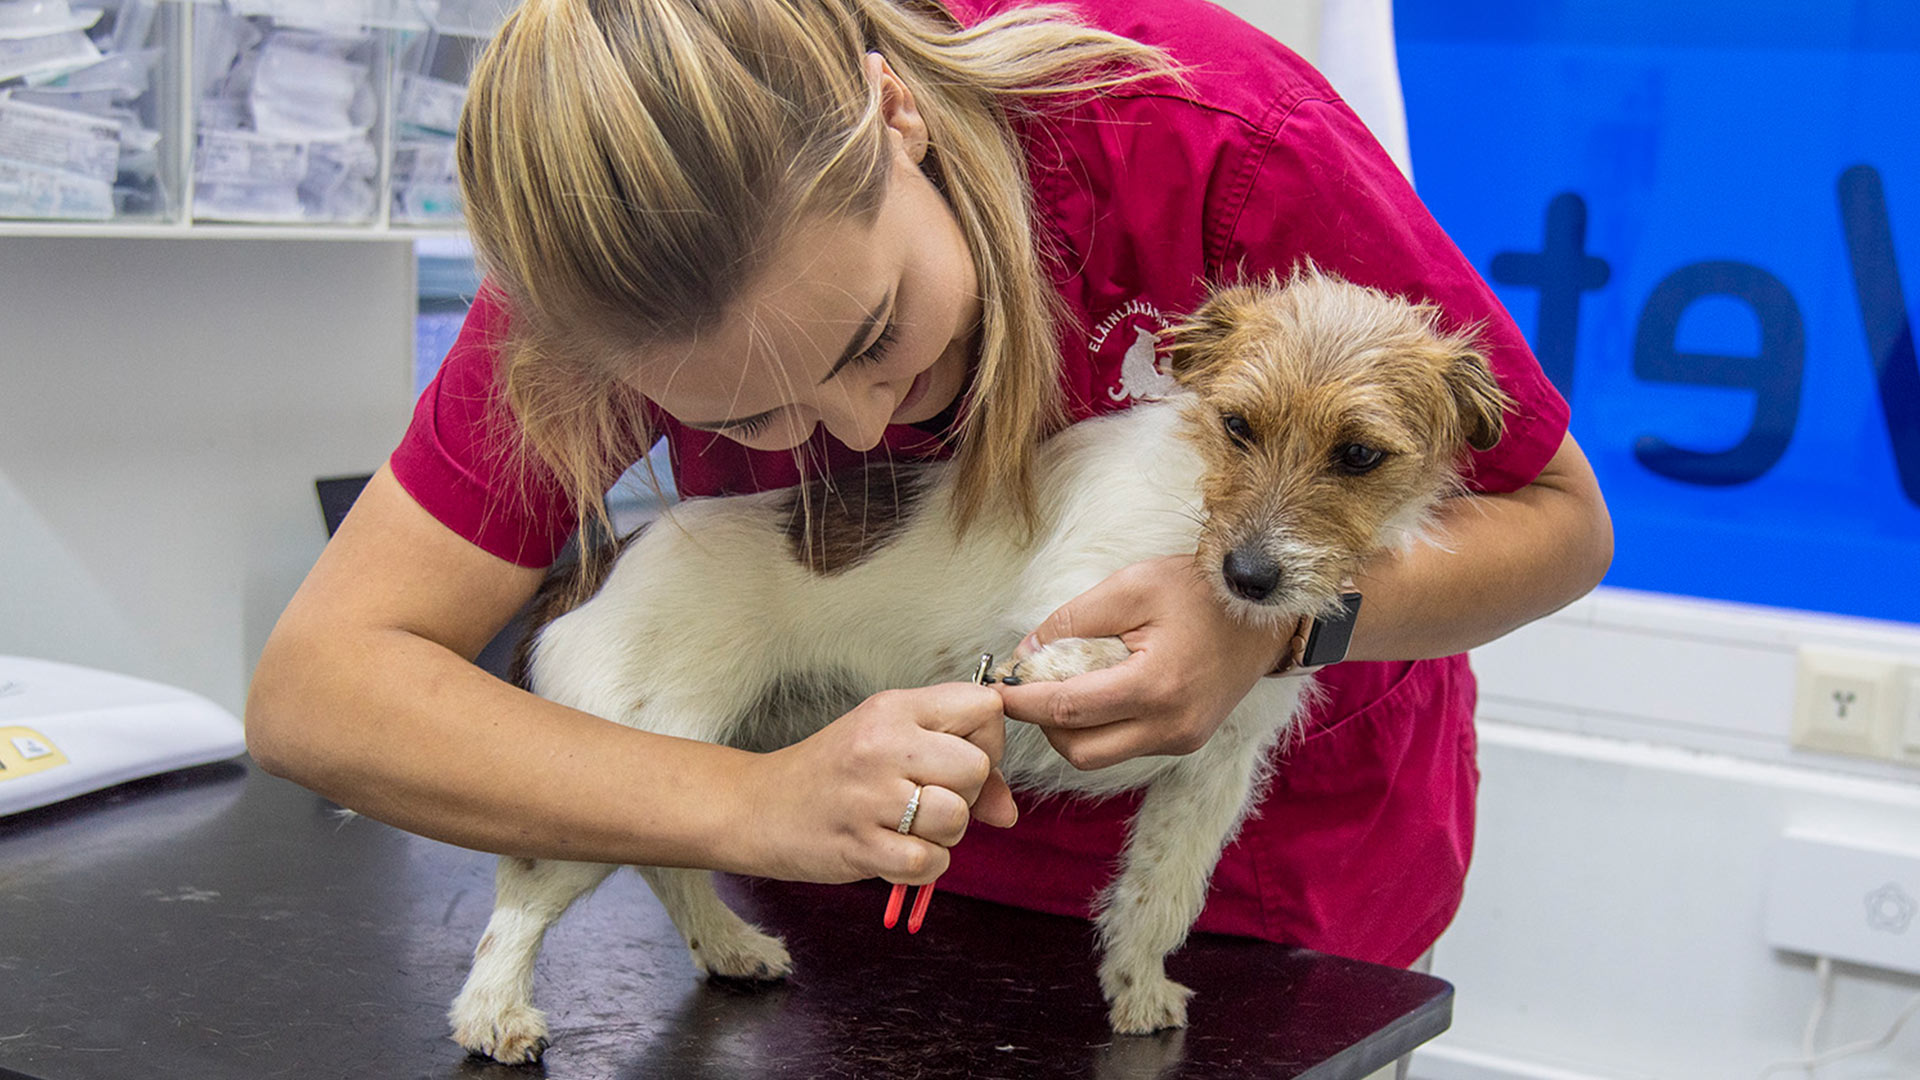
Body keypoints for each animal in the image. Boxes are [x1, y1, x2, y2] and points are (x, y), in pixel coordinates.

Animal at [453, 265, 1512, 1053]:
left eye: (1360, 455)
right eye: (1239, 424)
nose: (1251, 578)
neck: (1198, 515)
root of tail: (601, 560)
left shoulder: (1210, 772)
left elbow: (1160, 892)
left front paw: (1136, 988)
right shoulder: (1070, 594)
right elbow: (1065, 644)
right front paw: (1042, 678)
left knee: (664, 861)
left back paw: (729, 946)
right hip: (629, 744)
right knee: (524, 893)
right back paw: (494, 1013)